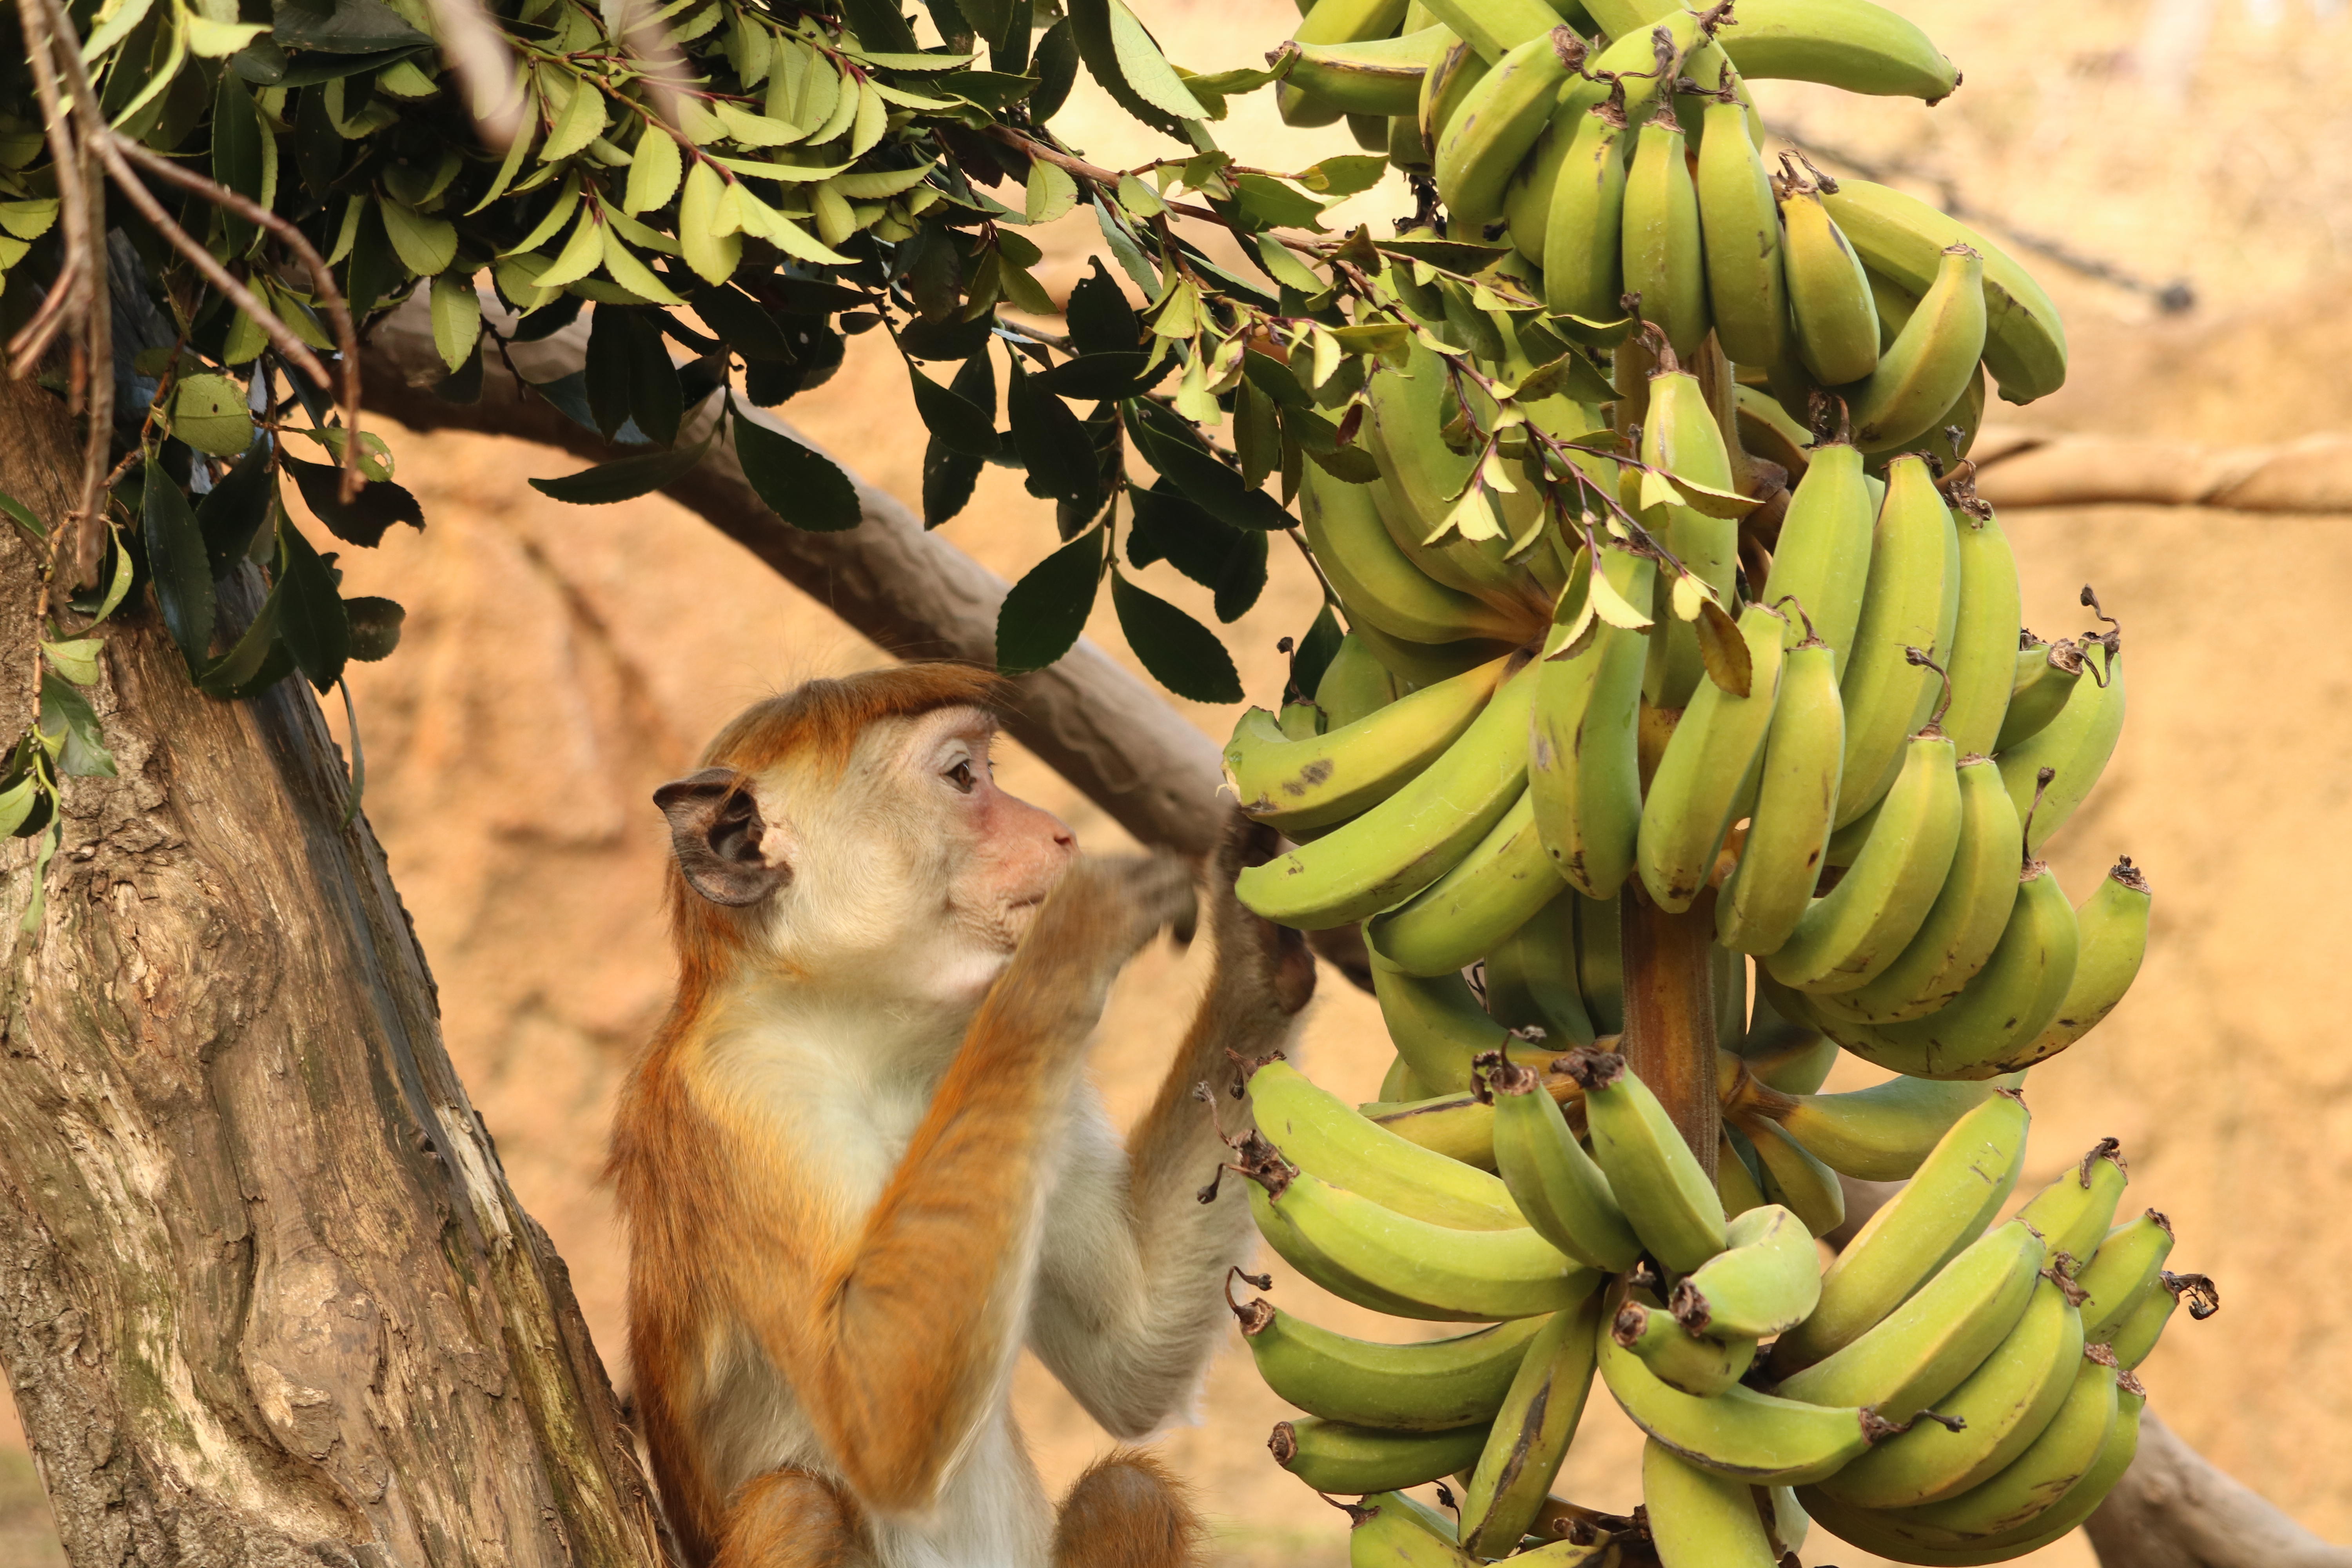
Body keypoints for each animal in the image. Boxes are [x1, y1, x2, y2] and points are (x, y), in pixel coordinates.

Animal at [607, 668, 1317, 1568]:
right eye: (962, 776)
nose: (1059, 832)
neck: (865, 1031)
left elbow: (1131, 1356)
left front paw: (1260, 941)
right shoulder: (744, 1095)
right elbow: (877, 1416)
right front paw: (1071, 938)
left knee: (1130, 1490)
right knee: (798, 1505)